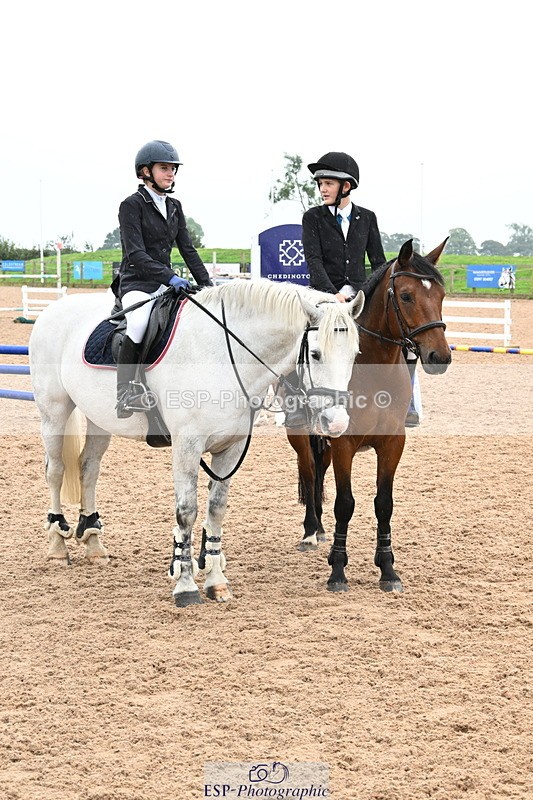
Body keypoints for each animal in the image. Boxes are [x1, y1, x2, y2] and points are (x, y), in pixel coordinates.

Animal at [29, 278, 364, 607]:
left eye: (355, 355)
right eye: (316, 354)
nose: (336, 423)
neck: (225, 355)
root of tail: (53, 309)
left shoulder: (231, 448)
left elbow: (216, 509)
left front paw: (216, 582)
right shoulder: (187, 446)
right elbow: (186, 511)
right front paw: (186, 586)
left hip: (99, 420)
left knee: (88, 469)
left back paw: (94, 544)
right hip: (54, 412)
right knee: (55, 471)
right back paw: (57, 546)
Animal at [287, 239, 452, 593]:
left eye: (441, 296)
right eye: (406, 296)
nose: (440, 357)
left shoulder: (392, 443)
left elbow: (384, 503)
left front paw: (388, 569)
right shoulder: (344, 443)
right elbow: (345, 504)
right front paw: (337, 571)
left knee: (318, 470)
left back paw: (321, 529)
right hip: (301, 434)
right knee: (308, 471)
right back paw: (310, 532)